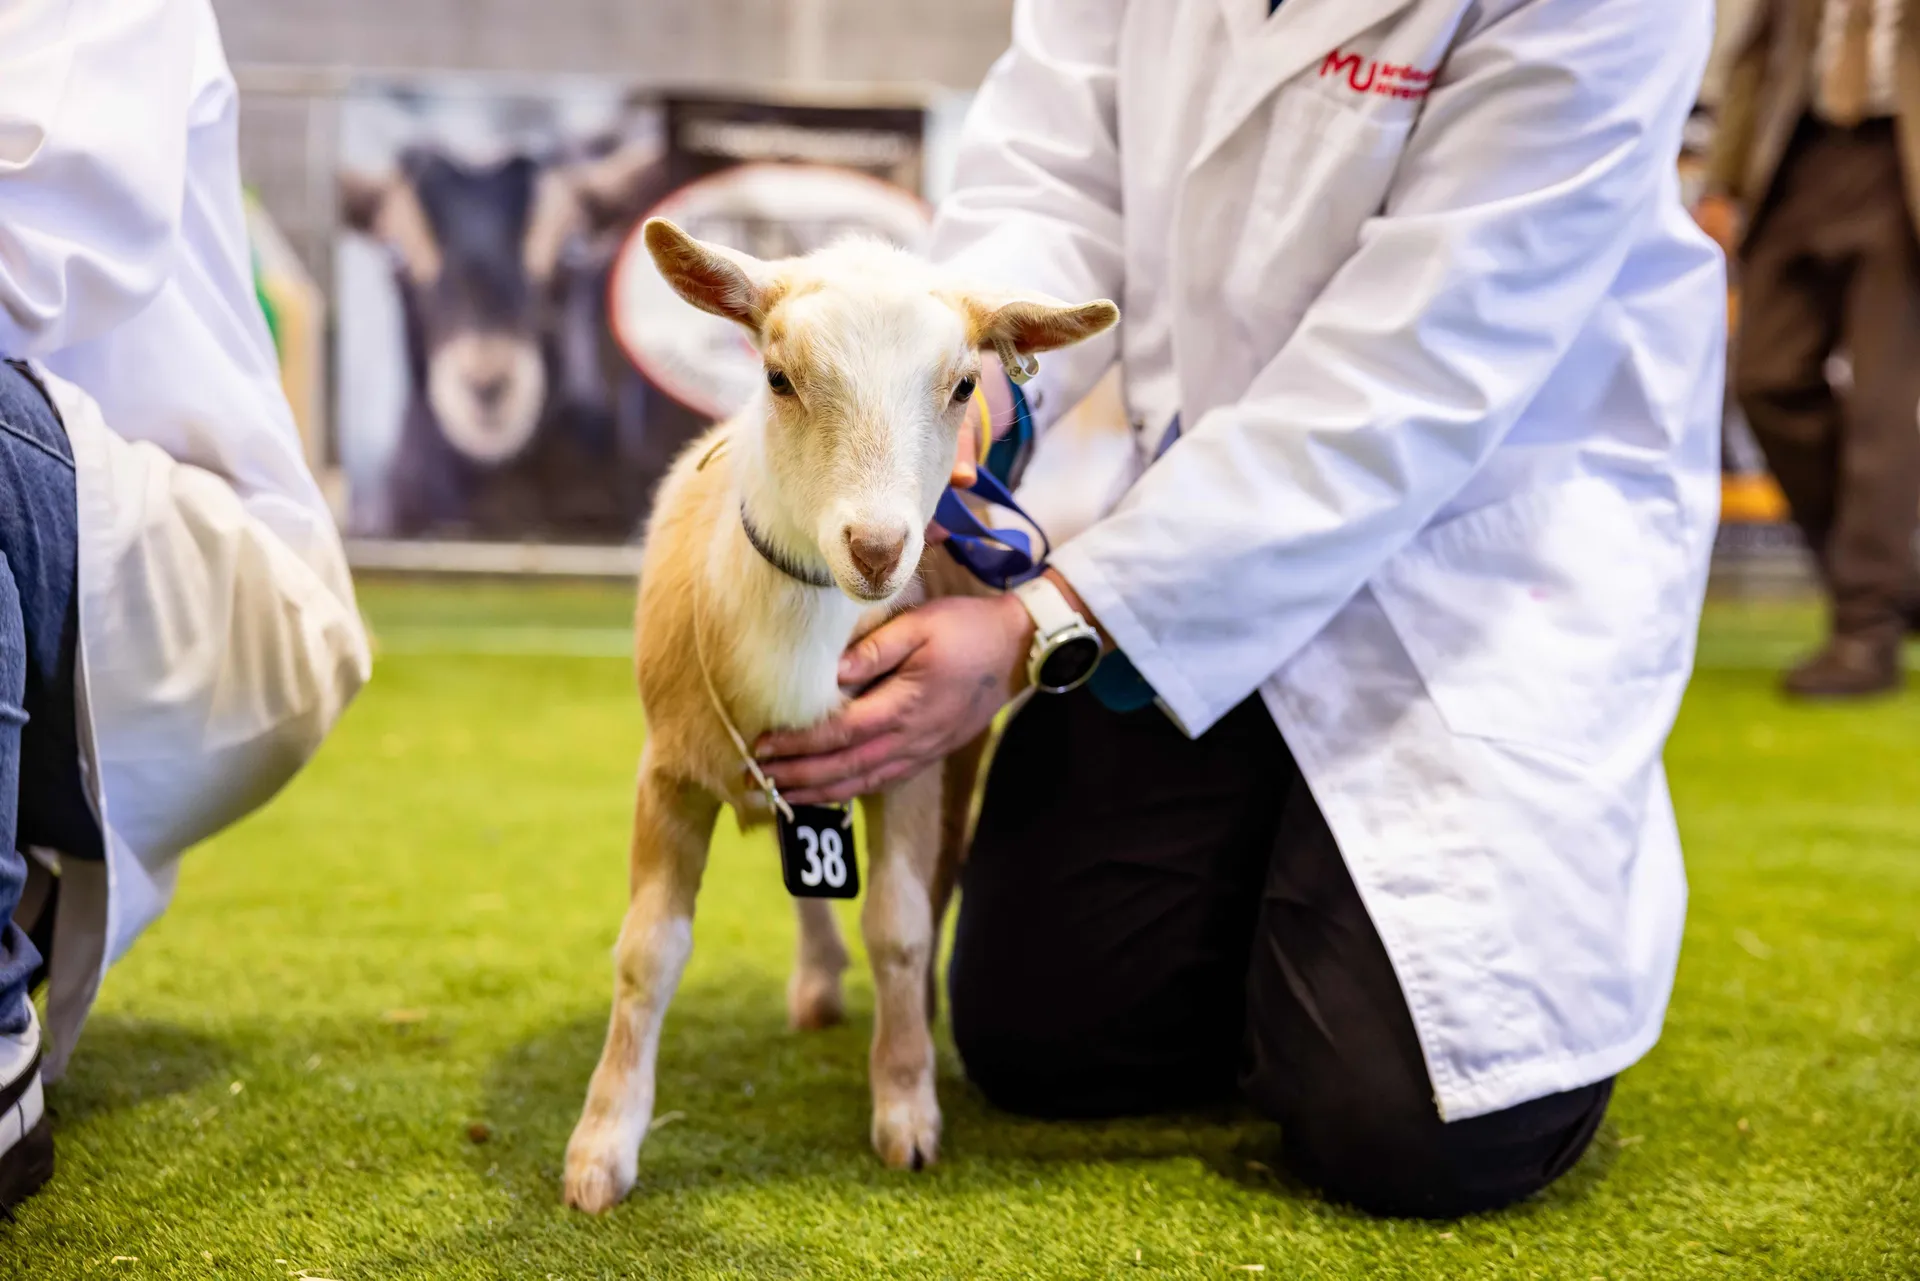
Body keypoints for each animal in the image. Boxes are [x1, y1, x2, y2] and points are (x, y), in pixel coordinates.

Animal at [561, 219, 1117, 1212]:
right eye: (779, 376)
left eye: (964, 385)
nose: (878, 547)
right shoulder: (668, 771)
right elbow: (647, 952)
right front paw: (600, 1150)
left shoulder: (909, 760)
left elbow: (898, 928)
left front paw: (905, 1109)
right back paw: (818, 986)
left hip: (959, 755)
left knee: (930, 896)